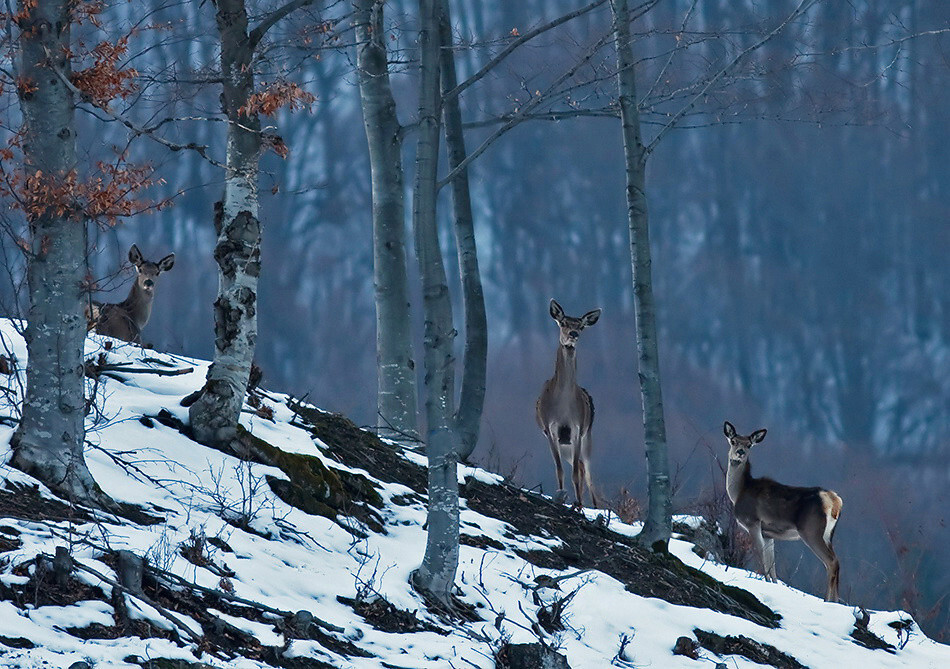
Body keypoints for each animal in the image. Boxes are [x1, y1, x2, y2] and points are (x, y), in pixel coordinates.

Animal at [536, 298, 604, 506]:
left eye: (581, 326)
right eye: (563, 323)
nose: (573, 334)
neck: (563, 408)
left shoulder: (577, 428)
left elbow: (574, 473)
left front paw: (579, 504)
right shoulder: (550, 430)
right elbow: (559, 470)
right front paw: (561, 496)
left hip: (587, 436)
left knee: (587, 472)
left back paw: (594, 506)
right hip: (565, 443)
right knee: (580, 466)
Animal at [724, 420, 844, 604]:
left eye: (749, 444)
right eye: (733, 441)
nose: (740, 452)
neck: (739, 492)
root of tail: (834, 501)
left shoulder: (753, 522)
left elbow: (761, 557)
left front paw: (764, 581)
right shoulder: (768, 534)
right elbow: (772, 564)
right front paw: (772, 584)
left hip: (811, 531)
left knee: (831, 562)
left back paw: (828, 601)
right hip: (828, 534)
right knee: (836, 562)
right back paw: (835, 601)